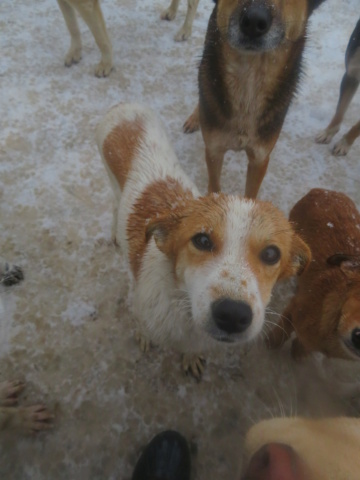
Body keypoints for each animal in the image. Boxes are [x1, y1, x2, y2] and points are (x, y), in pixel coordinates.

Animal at [95, 102, 310, 378]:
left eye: (272, 254)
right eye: (202, 240)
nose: (232, 314)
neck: (182, 304)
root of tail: (126, 105)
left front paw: (190, 357)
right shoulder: (143, 309)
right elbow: (142, 326)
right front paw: (144, 337)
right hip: (111, 180)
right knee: (114, 203)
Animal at [268, 188, 360, 360]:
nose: (357, 337)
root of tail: (325, 191)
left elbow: (303, 346)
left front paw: (298, 352)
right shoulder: (293, 308)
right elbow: (282, 332)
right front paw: (271, 342)